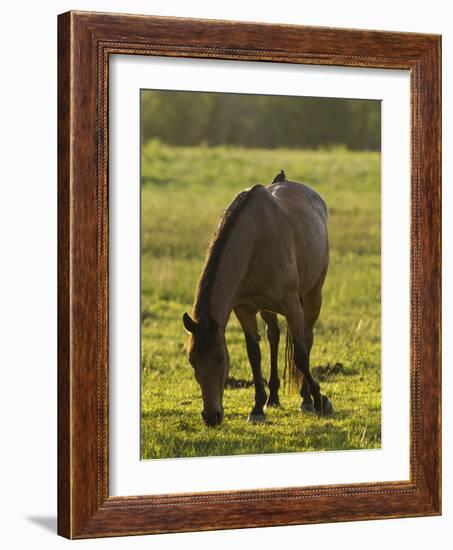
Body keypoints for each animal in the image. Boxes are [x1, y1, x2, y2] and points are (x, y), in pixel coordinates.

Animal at [182, 171, 330, 426]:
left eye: (220, 358)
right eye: (192, 360)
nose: (211, 416)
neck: (255, 240)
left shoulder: (292, 304)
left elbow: (301, 355)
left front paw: (320, 400)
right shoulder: (244, 308)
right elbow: (254, 355)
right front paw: (258, 407)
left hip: (313, 296)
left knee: (307, 340)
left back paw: (306, 399)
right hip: (267, 308)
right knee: (273, 336)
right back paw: (274, 397)